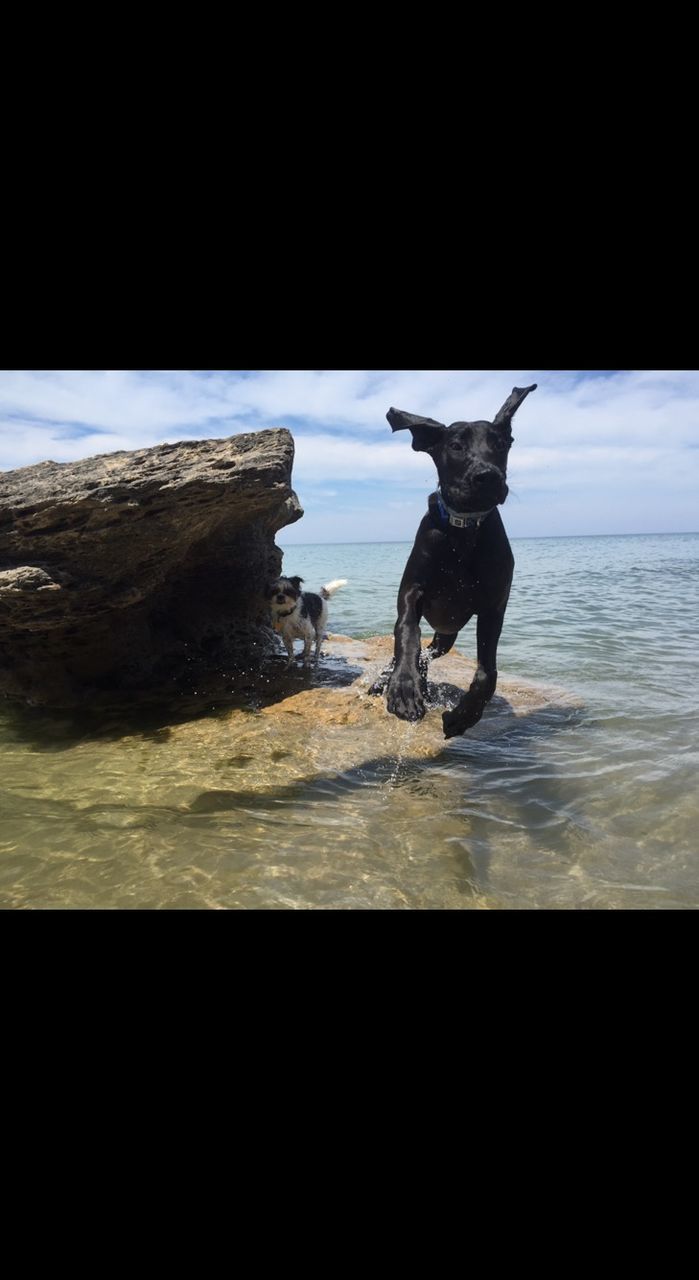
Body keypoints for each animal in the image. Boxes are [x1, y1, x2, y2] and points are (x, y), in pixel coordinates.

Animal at [373, 384, 535, 737]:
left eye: (500, 445)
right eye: (456, 446)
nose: (488, 476)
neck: (462, 534)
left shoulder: (493, 608)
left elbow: (488, 672)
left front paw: (464, 715)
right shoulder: (412, 591)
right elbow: (406, 633)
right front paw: (403, 688)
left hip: (446, 636)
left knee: (430, 652)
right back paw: (389, 681)